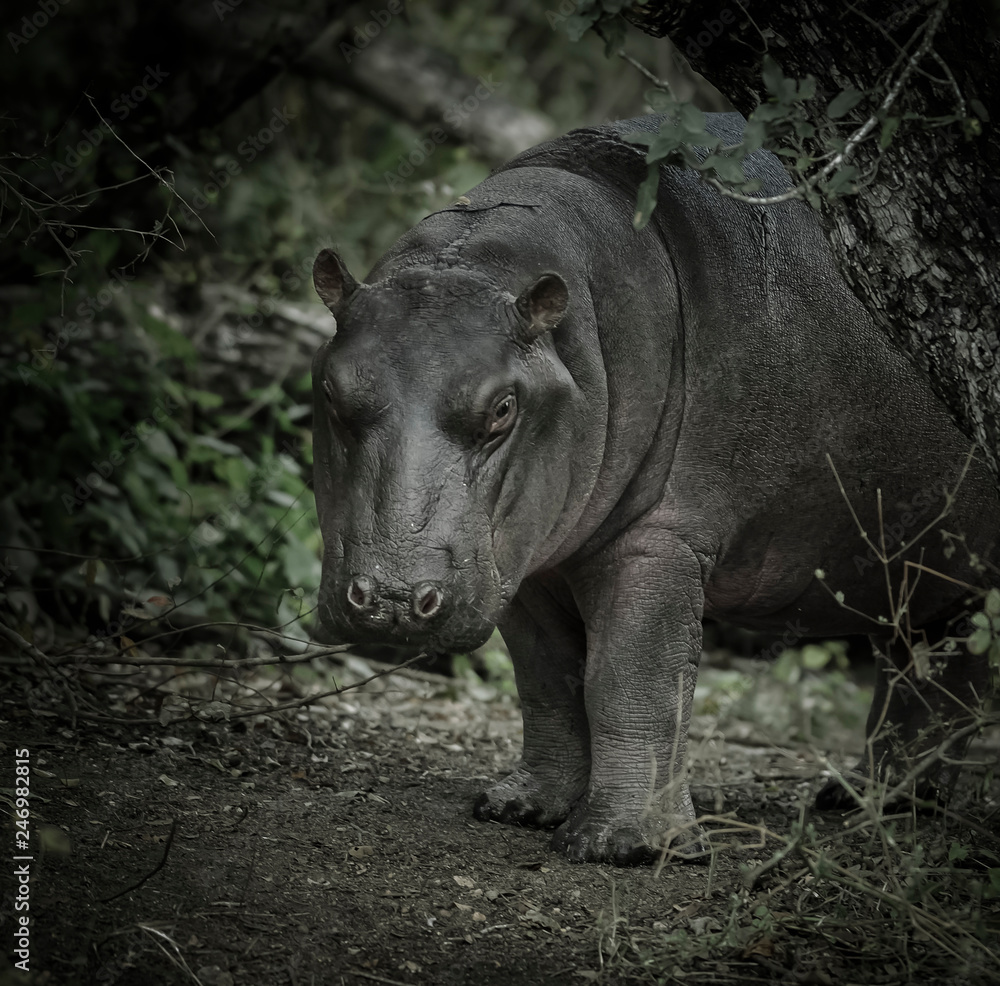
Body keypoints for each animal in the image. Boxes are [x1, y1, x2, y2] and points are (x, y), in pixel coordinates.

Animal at [311, 113, 999, 865]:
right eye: (332, 390)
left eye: (502, 409)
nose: (390, 600)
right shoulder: (522, 555)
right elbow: (548, 676)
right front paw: (518, 808)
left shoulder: (658, 539)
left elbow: (630, 675)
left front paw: (622, 845)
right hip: (929, 563)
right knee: (932, 663)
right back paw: (874, 799)